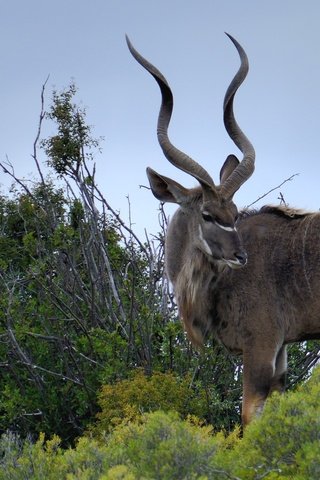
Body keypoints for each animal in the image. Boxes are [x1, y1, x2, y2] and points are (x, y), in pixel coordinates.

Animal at [126, 33, 320, 424]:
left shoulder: (261, 346)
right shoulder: (280, 353)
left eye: (233, 212)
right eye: (208, 214)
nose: (240, 256)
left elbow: (249, 418)